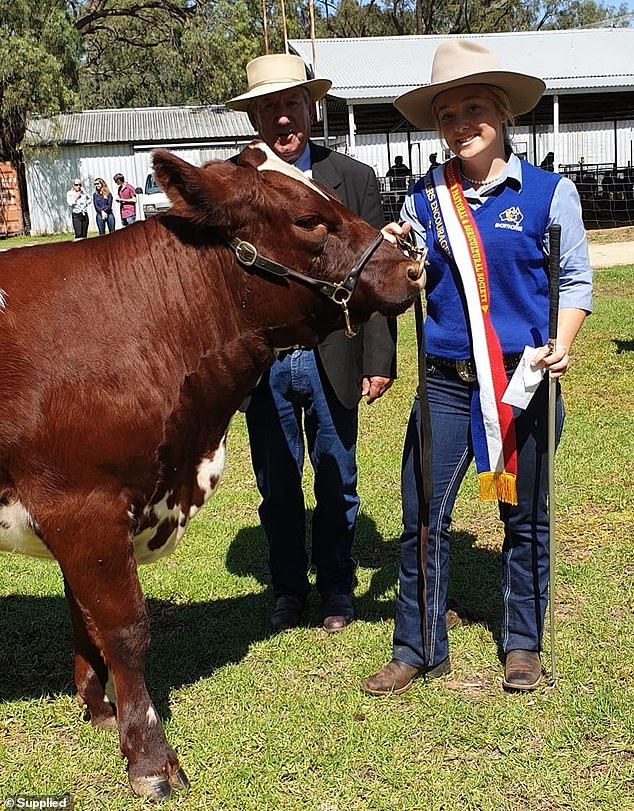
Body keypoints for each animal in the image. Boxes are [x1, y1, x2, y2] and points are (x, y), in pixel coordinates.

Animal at [1, 144, 424, 800]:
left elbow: (84, 615)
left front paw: (99, 711)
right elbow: (123, 627)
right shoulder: (83, 503)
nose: (410, 268)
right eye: (309, 220)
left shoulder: (82, 513)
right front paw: (149, 759)